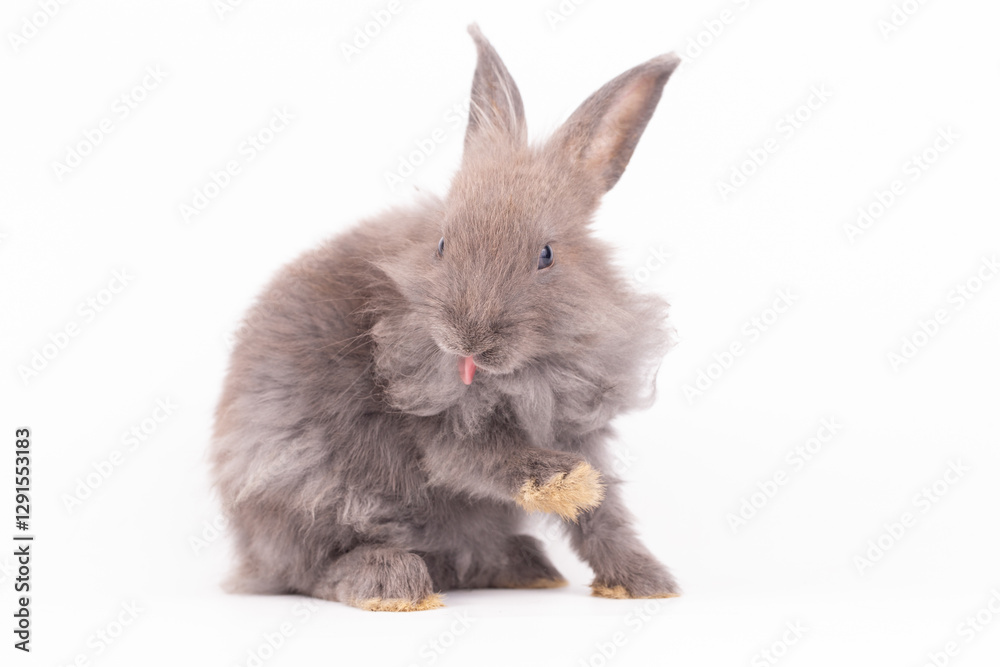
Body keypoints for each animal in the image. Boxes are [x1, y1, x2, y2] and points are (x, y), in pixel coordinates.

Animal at [211, 24, 682, 612]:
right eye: (441, 244)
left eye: (547, 254)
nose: (467, 339)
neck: (523, 376)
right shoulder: (443, 436)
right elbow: (488, 460)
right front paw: (566, 483)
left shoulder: (582, 428)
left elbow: (604, 516)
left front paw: (647, 582)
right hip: (304, 488)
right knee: (313, 570)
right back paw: (396, 583)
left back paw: (526, 568)